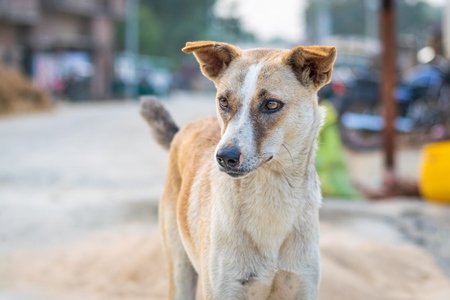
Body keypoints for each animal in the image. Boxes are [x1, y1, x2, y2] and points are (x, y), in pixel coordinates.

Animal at [142, 40, 336, 300]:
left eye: (271, 104)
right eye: (223, 101)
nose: (225, 157)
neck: (270, 195)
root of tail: (182, 130)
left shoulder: (302, 286)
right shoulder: (224, 289)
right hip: (180, 270)